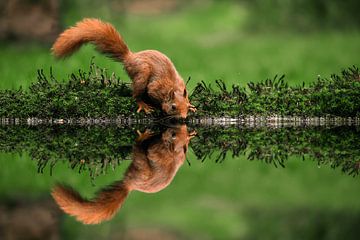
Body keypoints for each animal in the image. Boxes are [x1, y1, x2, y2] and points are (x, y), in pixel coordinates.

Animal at [51, 124, 194, 224]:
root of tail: (129, 184)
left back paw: (142, 138)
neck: (174, 152)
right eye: (182, 129)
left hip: (141, 164)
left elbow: (152, 151)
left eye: (173, 135)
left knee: (137, 149)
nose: (170, 128)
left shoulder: (159, 151)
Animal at [52, 17, 195, 118]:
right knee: (136, 95)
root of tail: (129, 57)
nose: (183, 118)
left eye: (186, 105)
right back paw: (143, 105)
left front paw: (193, 107)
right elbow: (151, 94)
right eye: (173, 107)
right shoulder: (156, 88)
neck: (173, 87)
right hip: (142, 74)